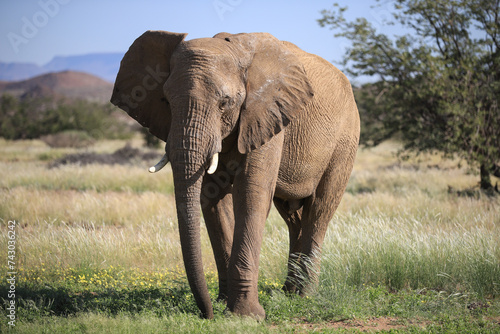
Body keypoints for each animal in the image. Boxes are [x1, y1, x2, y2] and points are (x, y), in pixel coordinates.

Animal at [110, 30, 360, 318]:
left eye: (225, 103)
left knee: (320, 209)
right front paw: (225, 305)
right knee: (293, 216)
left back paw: (305, 296)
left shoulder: (267, 113)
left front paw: (246, 316)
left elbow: (251, 195)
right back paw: (289, 293)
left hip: (346, 139)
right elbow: (212, 200)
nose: (206, 314)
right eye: (166, 101)